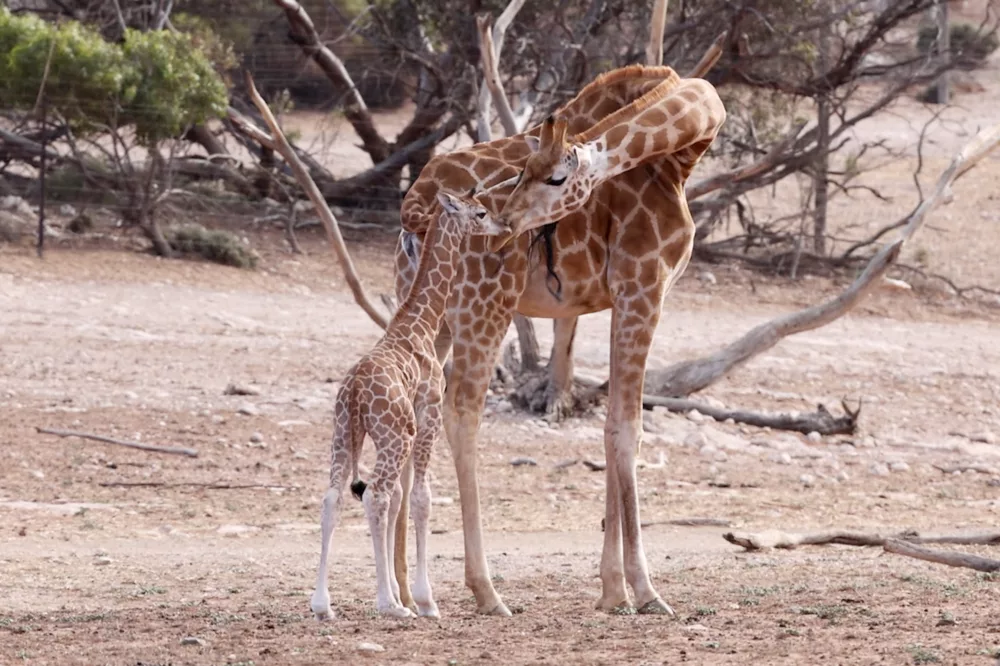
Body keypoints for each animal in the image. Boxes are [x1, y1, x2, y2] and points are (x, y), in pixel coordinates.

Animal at [309, 191, 508, 621]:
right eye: (480, 212)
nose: (503, 225)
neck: (421, 323)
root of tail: (355, 392)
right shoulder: (427, 412)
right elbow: (420, 498)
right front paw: (424, 601)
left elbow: (402, 498)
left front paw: (407, 597)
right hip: (393, 435)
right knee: (376, 496)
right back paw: (389, 605)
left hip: (344, 434)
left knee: (334, 497)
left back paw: (322, 604)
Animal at [390, 65, 726, 616]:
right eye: (524, 170)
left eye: (552, 176)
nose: (502, 220)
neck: (683, 154)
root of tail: (413, 207)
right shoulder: (643, 287)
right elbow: (627, 428)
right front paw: (645, 591)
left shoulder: (612, 300)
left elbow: (608, 428)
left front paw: (612, 591)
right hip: (485, 308)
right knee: (463, 415)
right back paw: (486, 591)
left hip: (427, 311)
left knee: (411, 410)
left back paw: (402, 590)